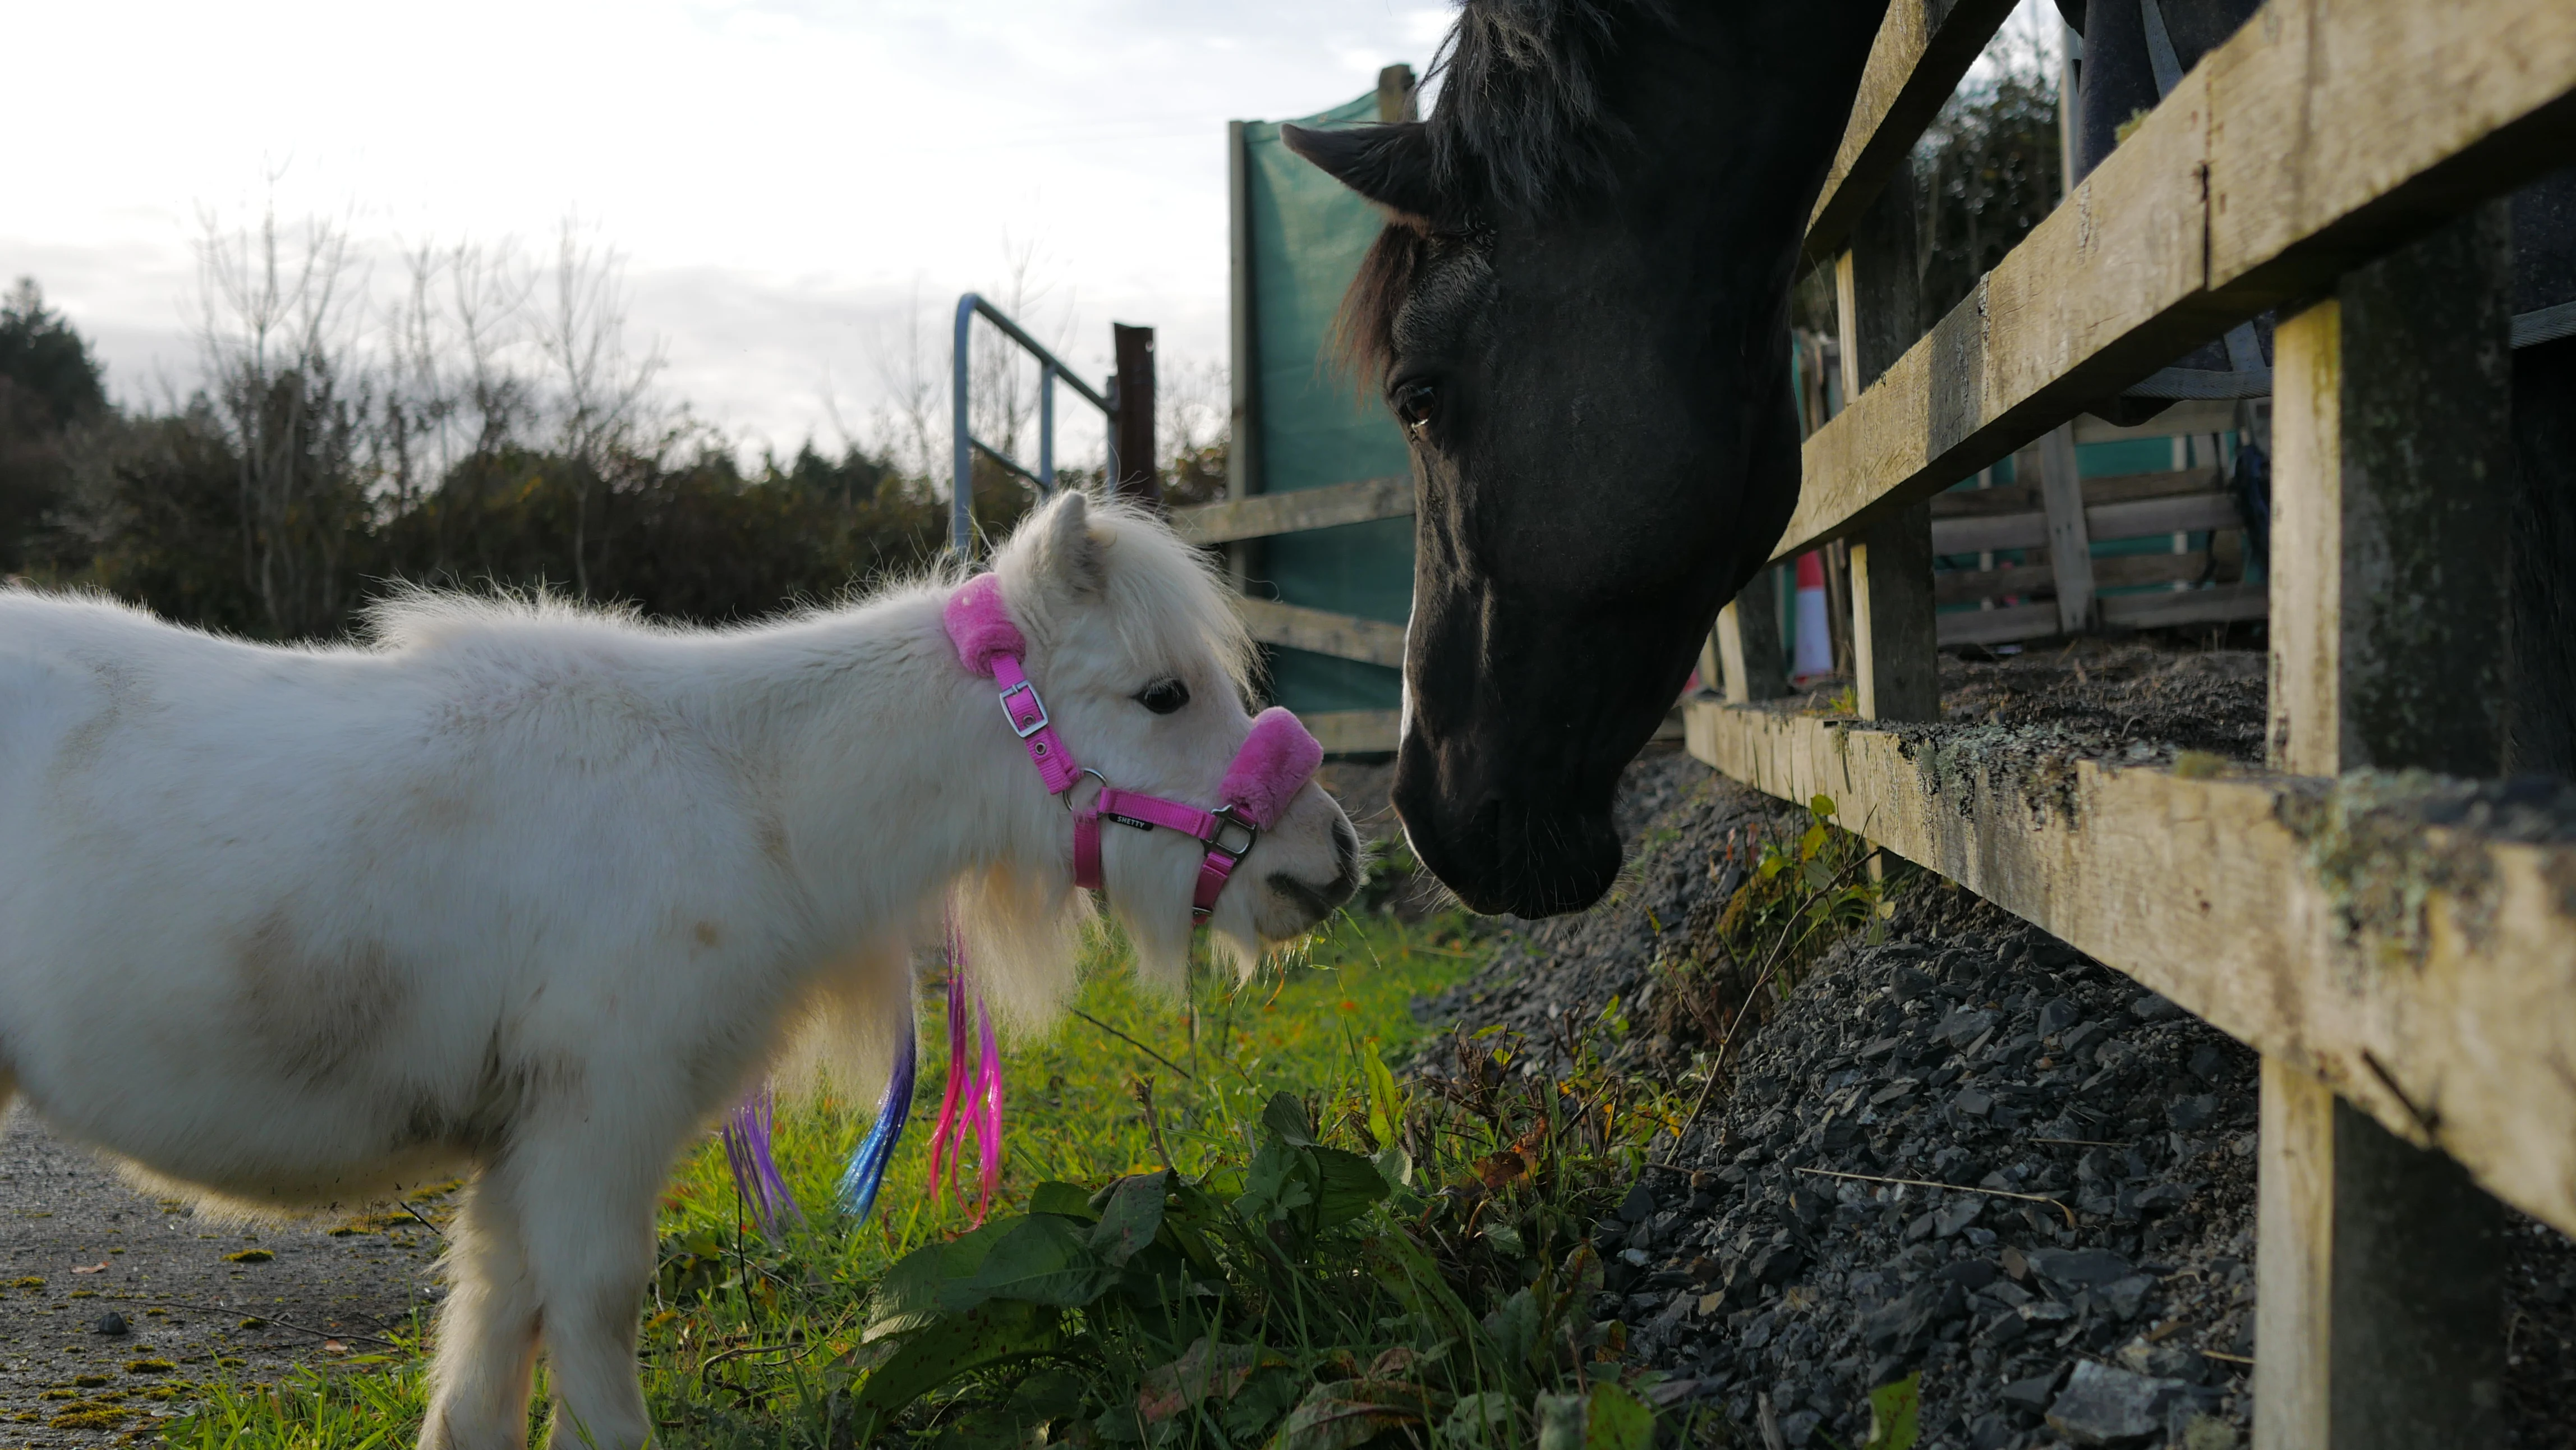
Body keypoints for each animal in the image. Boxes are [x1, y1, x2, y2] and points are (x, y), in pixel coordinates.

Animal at [0, 489, 1360, 1450]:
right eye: (1162, 692)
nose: (1330, 856)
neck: (743, 788)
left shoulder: (529, 1140)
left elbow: (490, 1354)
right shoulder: (600, 1118)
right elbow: (593, 1330)